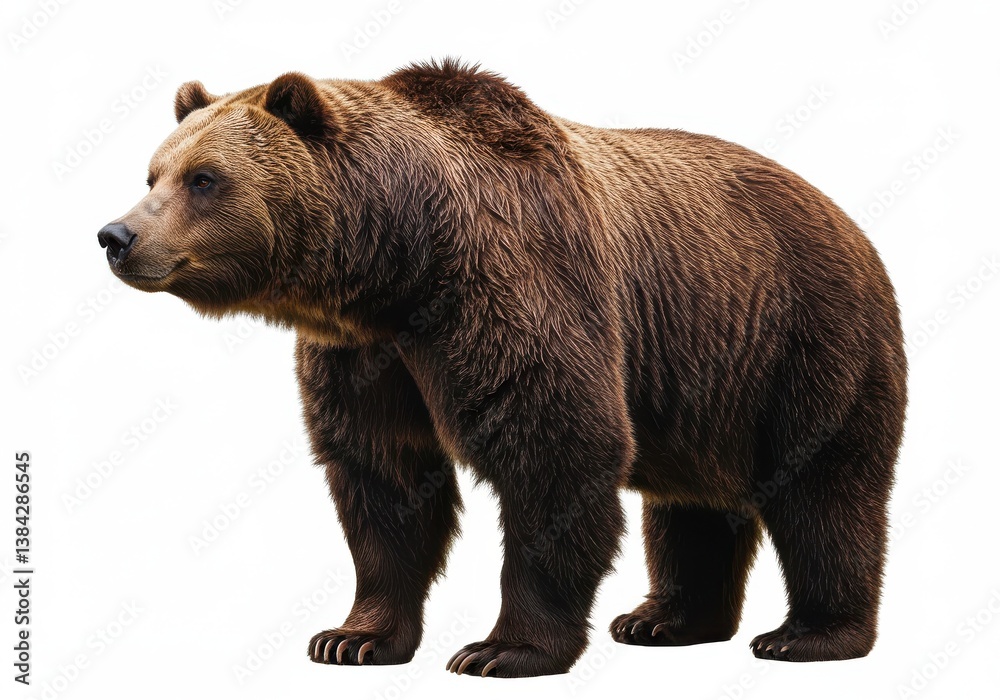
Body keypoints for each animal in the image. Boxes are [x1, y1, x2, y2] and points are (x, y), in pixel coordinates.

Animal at [97, 59, 907, 678]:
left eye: (204, 178)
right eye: (153, 171)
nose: (116, 235)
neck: (401, 266)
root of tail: (849, 219)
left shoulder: (513, 288)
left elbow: (554, 452)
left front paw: (500, 650)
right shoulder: (365, 358)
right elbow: (382, 480)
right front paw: (351, 637)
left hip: (804, 340)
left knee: (826, 490)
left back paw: (808, 634)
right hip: (707, 375)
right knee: (691, 500)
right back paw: (662, 620)